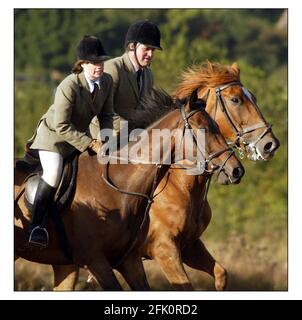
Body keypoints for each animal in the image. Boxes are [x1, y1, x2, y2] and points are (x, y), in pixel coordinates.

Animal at [15, 94, 244, 290]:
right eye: (203, 129)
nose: (237, 170)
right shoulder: (105, 258)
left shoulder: (141, 257)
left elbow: (220, 273)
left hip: (63, 264)